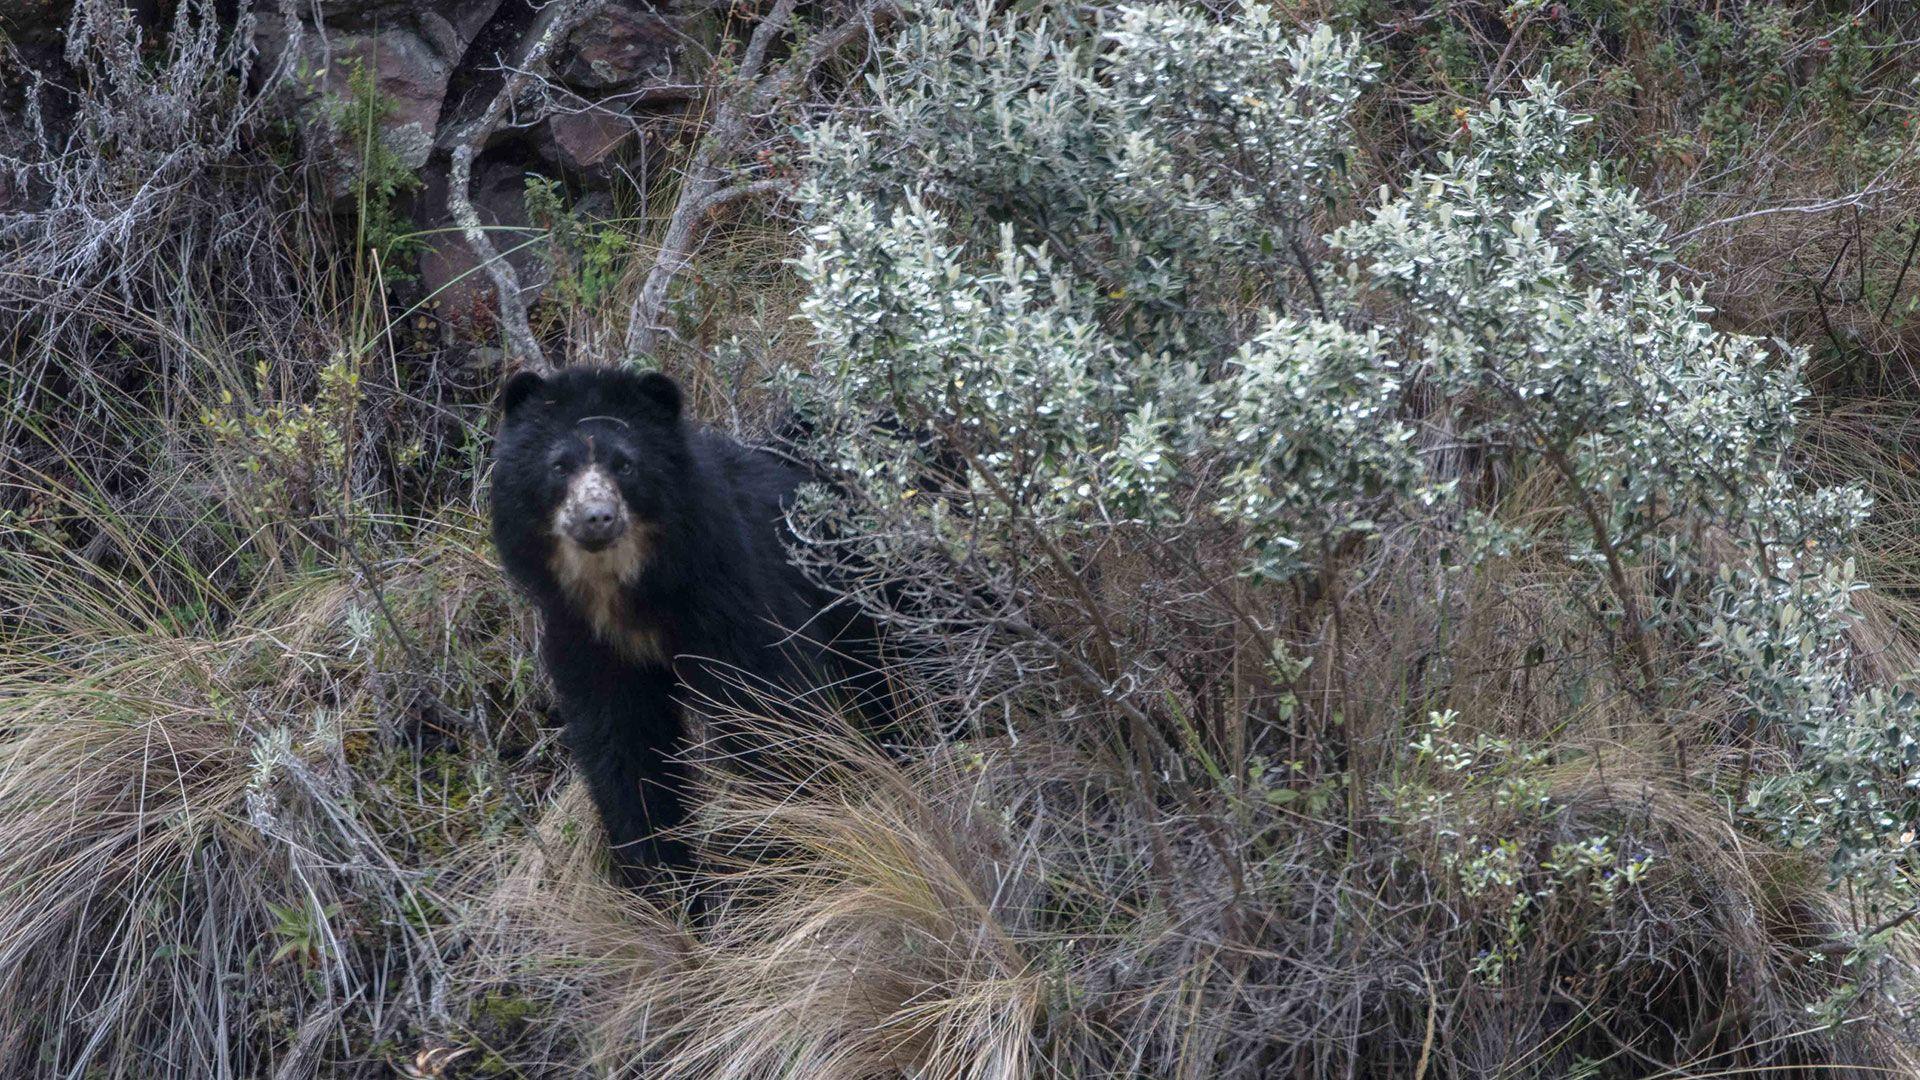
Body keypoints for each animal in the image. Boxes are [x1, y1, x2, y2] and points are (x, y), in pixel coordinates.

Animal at [489, 365, 885, 886]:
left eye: (625, 464)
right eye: (559, 466)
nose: (597, 518)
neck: (630, 591)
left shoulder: (729, 595)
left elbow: (772, 709)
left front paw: (789, 848)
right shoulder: (586, 637)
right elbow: (624, 746)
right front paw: (660, 878)